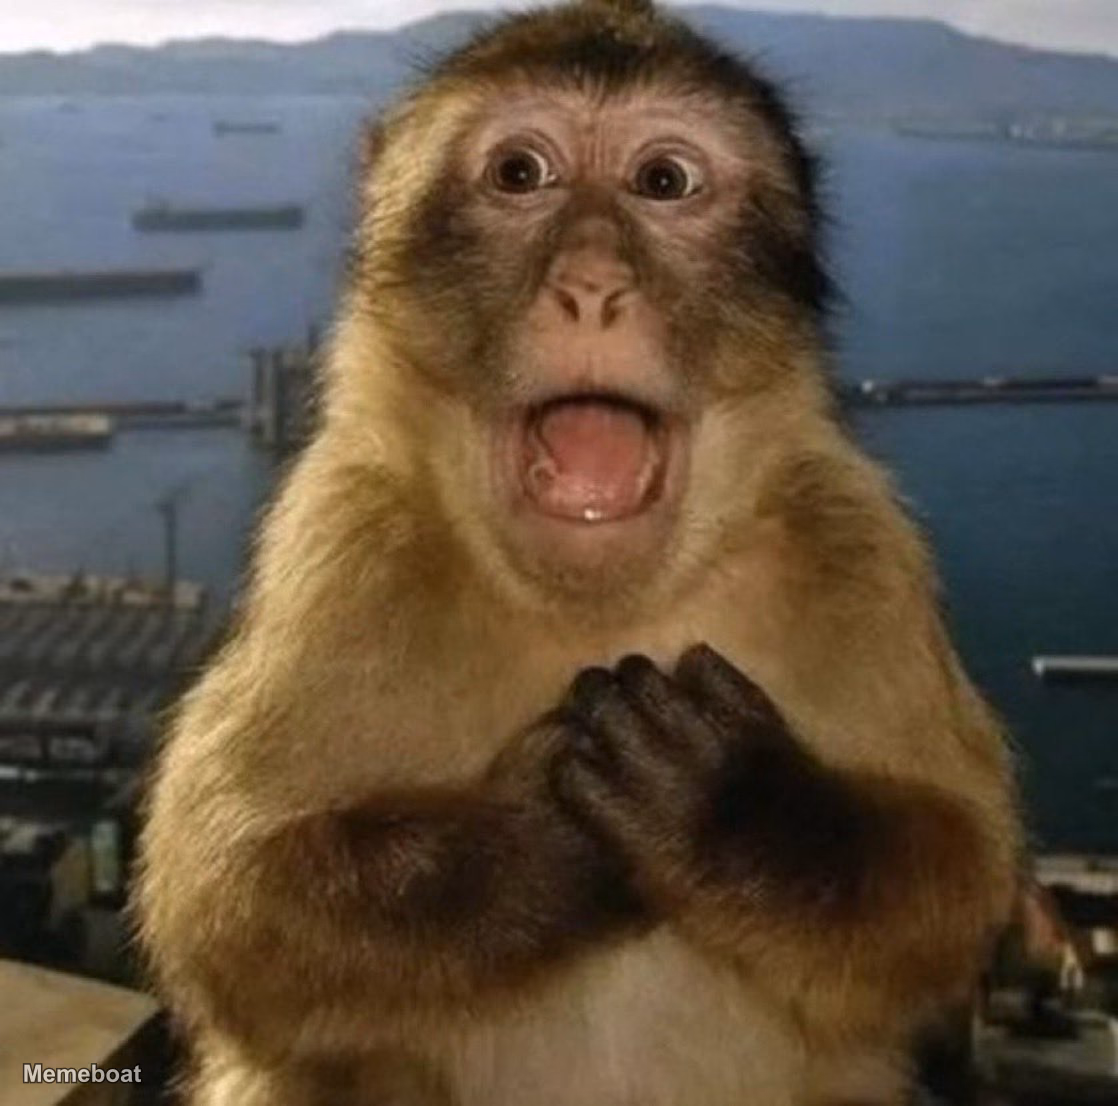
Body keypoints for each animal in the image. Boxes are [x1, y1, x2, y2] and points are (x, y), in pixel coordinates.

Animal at [134, 1, 1022, 1103]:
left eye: (663, 181)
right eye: (521, 173)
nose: (592, 285)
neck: (600, 603)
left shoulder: (856, 542)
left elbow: (957, 870)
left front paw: (727, 809)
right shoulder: (341, 540)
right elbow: (226, 898)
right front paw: (538, 842)